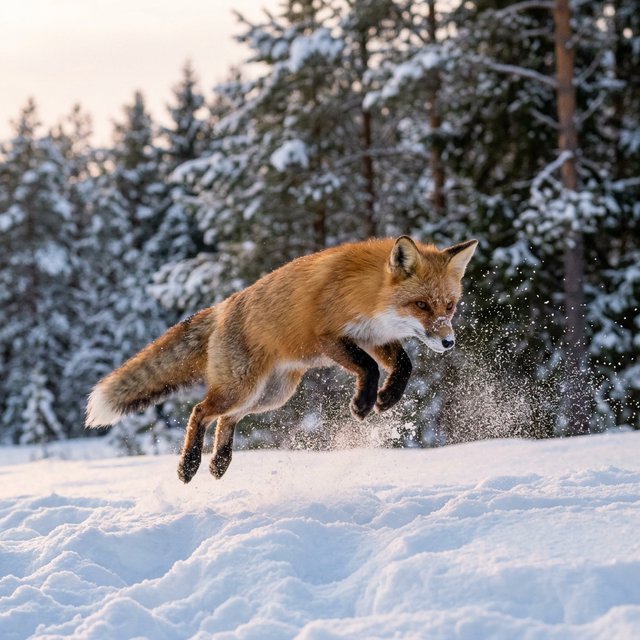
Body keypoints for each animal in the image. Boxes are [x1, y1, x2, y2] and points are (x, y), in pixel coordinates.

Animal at [86, 236, 477, 482]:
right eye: (421, 305)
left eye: (449, 306)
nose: (448, 342)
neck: (368, 293)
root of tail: (224, 305)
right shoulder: (329, 338)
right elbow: (367, 367)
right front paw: (364, 404)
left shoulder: (375, 338)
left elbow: (405, 366)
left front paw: (387, 398)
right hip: (243, 388)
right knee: (200, 411)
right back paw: (189, 465)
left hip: (271, 395)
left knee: (226, 419)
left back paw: (219, 463)